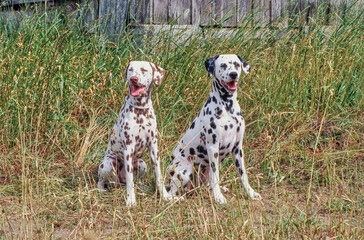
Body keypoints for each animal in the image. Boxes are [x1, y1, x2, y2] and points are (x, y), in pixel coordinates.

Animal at [98, 61, 173, 207]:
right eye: (131, 70)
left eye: (143, 70)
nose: (133, 79)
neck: (141, 111)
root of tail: (118, 183)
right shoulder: (129, 148)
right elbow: (129, 179)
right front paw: (131, 200)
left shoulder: (154, 147)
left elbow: (159, 175)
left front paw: (165, 196)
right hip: (108, 164)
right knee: (103, 181)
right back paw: (101, 189)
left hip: (141, 163)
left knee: (136, 181)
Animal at [166, 53, 264, 203]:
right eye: (223, 65)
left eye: (236, 64)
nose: (233, 74)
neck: (228, 107)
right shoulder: (213, 147)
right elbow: (215, 176)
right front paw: (218, 197)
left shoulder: (238, 148)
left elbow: (243, 175)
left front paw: (251, 193)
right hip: (185, 169)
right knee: (170, 193)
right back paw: (178, 198)